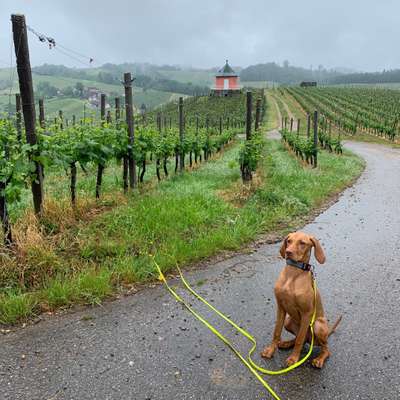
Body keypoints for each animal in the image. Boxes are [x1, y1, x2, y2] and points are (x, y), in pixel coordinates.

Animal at [260, 231, 342, 368]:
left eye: (302, 243)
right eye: (288, 241)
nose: (288, 252)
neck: (293, 273)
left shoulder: (306, 313)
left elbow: (299, 340)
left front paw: (293, 359)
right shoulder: (280, 307)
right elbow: (277, 332)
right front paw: (271, 350)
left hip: (317, 324)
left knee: (324, 347)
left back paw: (319, 359)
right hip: (288, 321)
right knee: (302, 340)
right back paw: (286, 343)